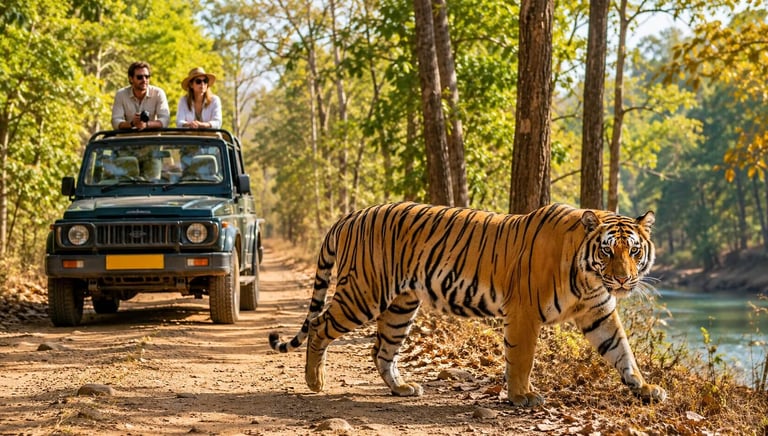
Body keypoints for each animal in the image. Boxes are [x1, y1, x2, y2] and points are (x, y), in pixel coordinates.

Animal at [269, 202, 666, 406]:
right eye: (607, 251)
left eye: (633, 251)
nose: (623, 279)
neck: (588, 279)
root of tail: (351, 214)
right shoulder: (523, 312)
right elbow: (521, 358)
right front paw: (522, 396)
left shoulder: (599, 312)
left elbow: (622, 351)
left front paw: (644, 388)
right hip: (364, 293)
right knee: (319, 325)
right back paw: (315, 381)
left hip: (401, 305)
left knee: (382, 350)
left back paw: (401, 388)